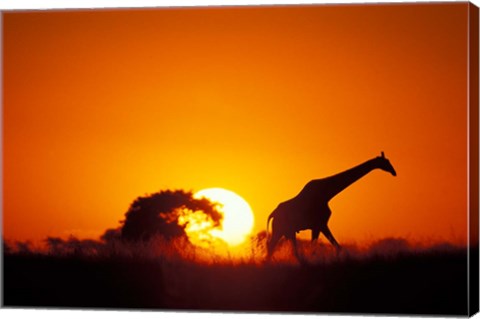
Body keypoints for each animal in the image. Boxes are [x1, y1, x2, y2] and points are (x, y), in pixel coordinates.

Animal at [266, 152, 398, 260]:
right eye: (386, 162)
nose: (394, 172)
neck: (327, 194)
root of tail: (272, 214)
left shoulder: (317, 226)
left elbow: (327, 247)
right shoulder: (321, 224)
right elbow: (331, 247)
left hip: (287, 231)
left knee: (281, 249)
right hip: (282, 230)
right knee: (273, 247)